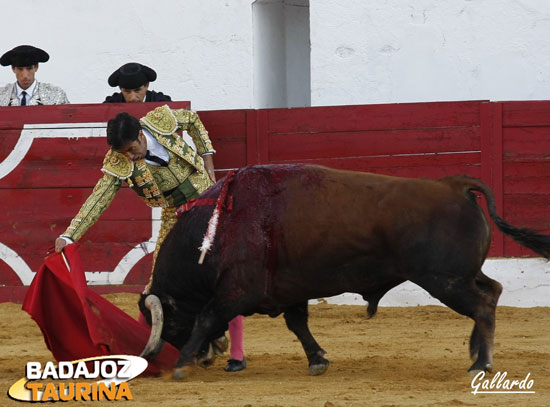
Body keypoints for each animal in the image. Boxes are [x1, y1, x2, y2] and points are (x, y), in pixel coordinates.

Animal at [139, 163, 550, 380]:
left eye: (170, 325)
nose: (207, 358)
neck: (220, 225)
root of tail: (455, 186)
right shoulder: (289, 290)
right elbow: (298, 324)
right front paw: (318, 360)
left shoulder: (238, 291)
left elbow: (207, 317)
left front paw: (181, 364)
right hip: (461, 275)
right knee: (492, 292)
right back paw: (475, 353)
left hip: (445, 280)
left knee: (483, 305)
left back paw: (481, 362)